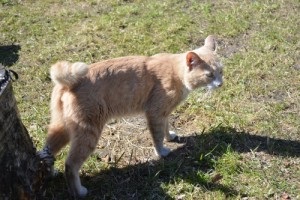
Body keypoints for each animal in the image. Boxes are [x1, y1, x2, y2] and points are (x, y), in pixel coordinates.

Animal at [42, 35, 224, 197]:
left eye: (221, 71)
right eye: (209, 75)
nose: (221, 84)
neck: (176, 72)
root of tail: (69, 83)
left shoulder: (163, 113)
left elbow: (166, 127)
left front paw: (170, 137)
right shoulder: (155, 113)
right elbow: (157, 136)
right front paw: (162, 152)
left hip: (62, 128)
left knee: (47, 150)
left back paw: (50, 173)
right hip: (88, 133)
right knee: (70, 164)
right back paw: (78, 192)